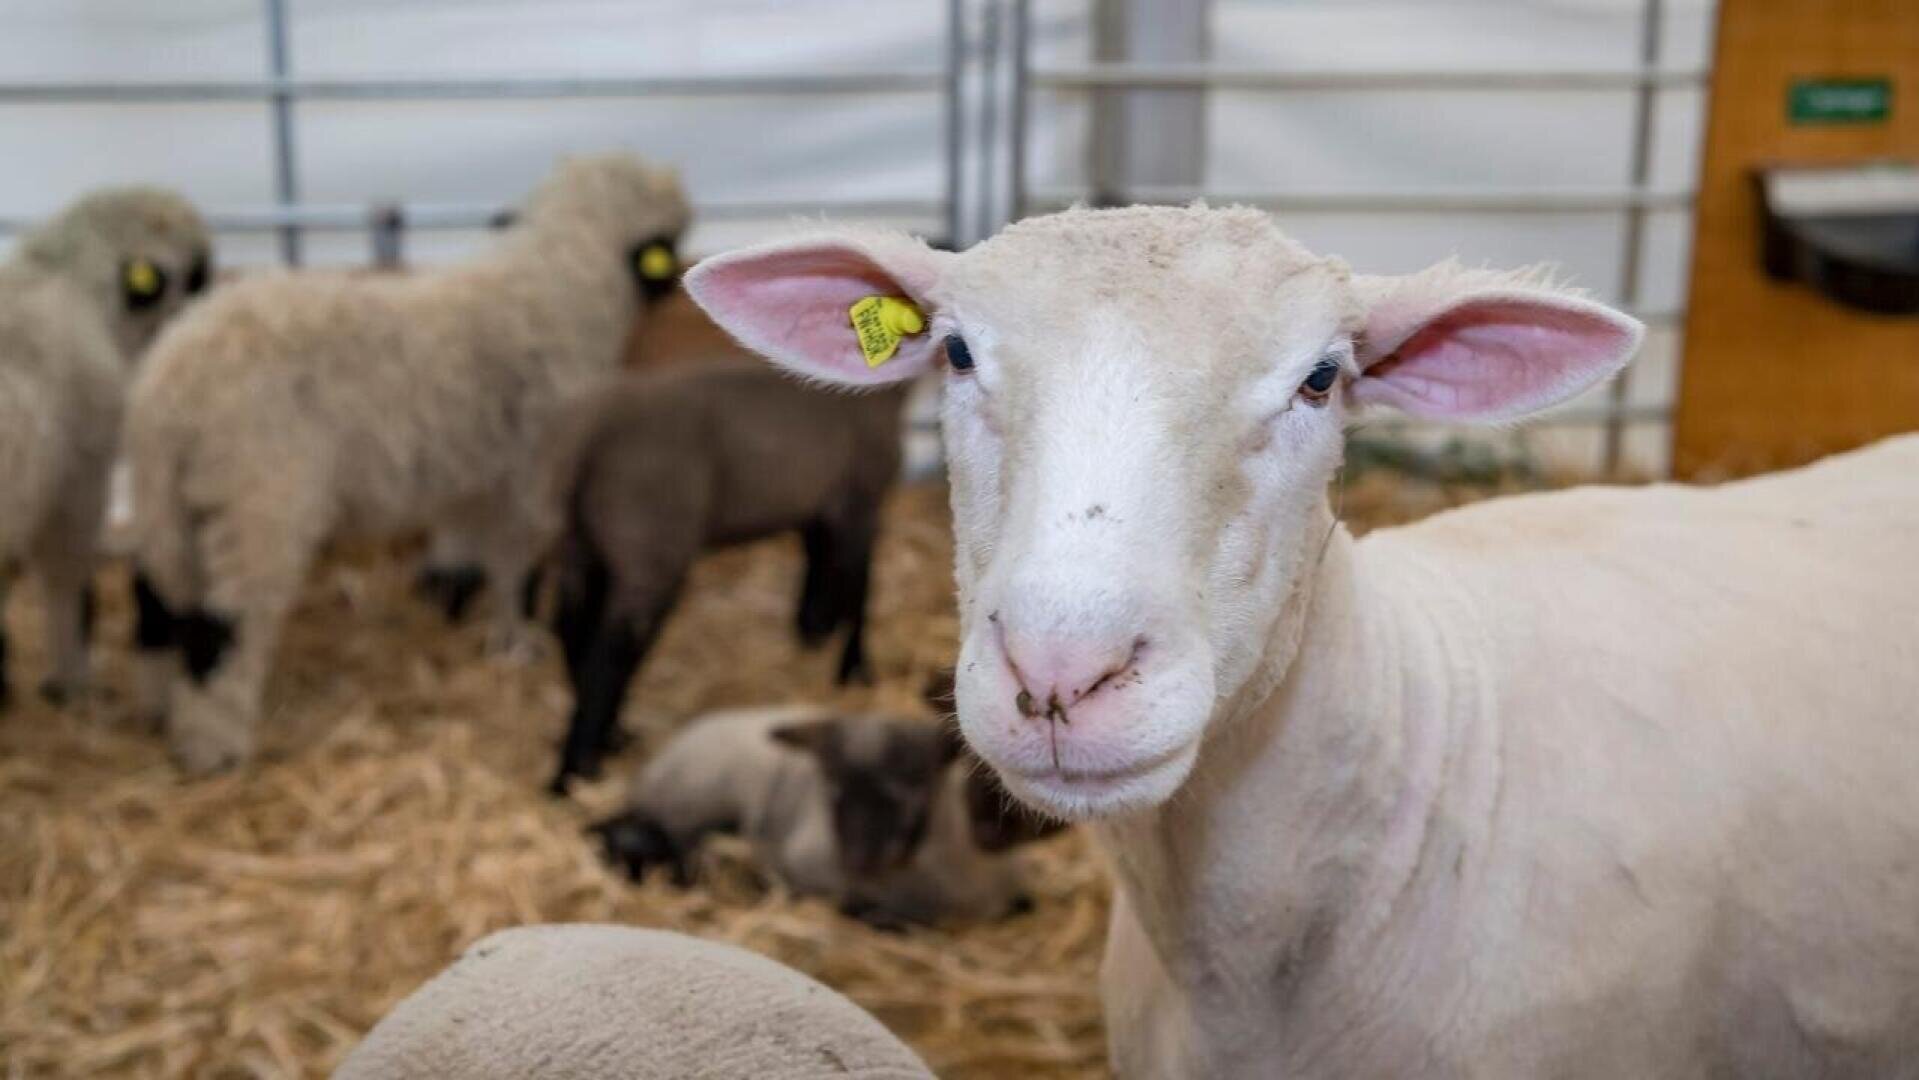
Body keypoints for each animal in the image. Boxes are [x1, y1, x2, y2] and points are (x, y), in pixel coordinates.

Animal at [125, 154, 690, 774]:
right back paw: (212, 747)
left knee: (160, 601)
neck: (559, 277)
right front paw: (515, 638)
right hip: (257, 499)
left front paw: (452, 602)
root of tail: (168, 388)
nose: (678, 278)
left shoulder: (475, 472)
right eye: (671, 239)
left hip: (171, 504)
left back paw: (158, 707)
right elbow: (514, 565)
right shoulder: (530, 470)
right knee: (223, 628)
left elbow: (463, 545)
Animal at [543, 363, 905, 791]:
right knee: (611, 648)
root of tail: (592, 444)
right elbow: (860, 584)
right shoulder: (859, 495)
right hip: (649, 547)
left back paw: (604, 740)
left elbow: (820, 558)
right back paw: (578, 767)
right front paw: (855, 669)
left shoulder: (817, 500)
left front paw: (814, 627)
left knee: (572, 629)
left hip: (583, 546)